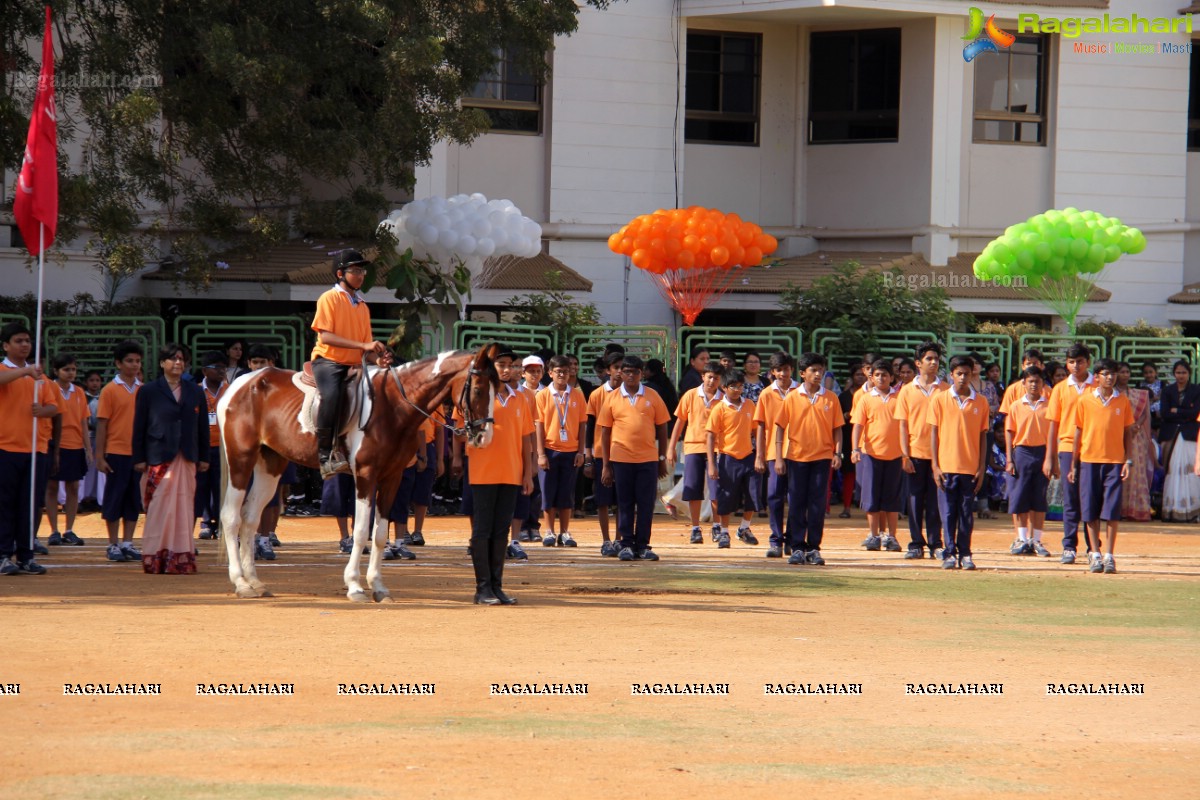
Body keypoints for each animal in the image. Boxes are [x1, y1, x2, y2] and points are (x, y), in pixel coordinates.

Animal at [213, 345, 499, 599]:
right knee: (231, 516)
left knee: (250, 517)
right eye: (478, 389)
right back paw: (241, 583)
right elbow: (361, 531)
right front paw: (355, 586)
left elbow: (380, 534)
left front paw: (378, 586)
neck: (393, 406)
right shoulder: (366, 475)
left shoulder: (392, 477)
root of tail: (240, 384)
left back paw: (255, 581)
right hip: (241, 459)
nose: (484, 437)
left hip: (270, 464)